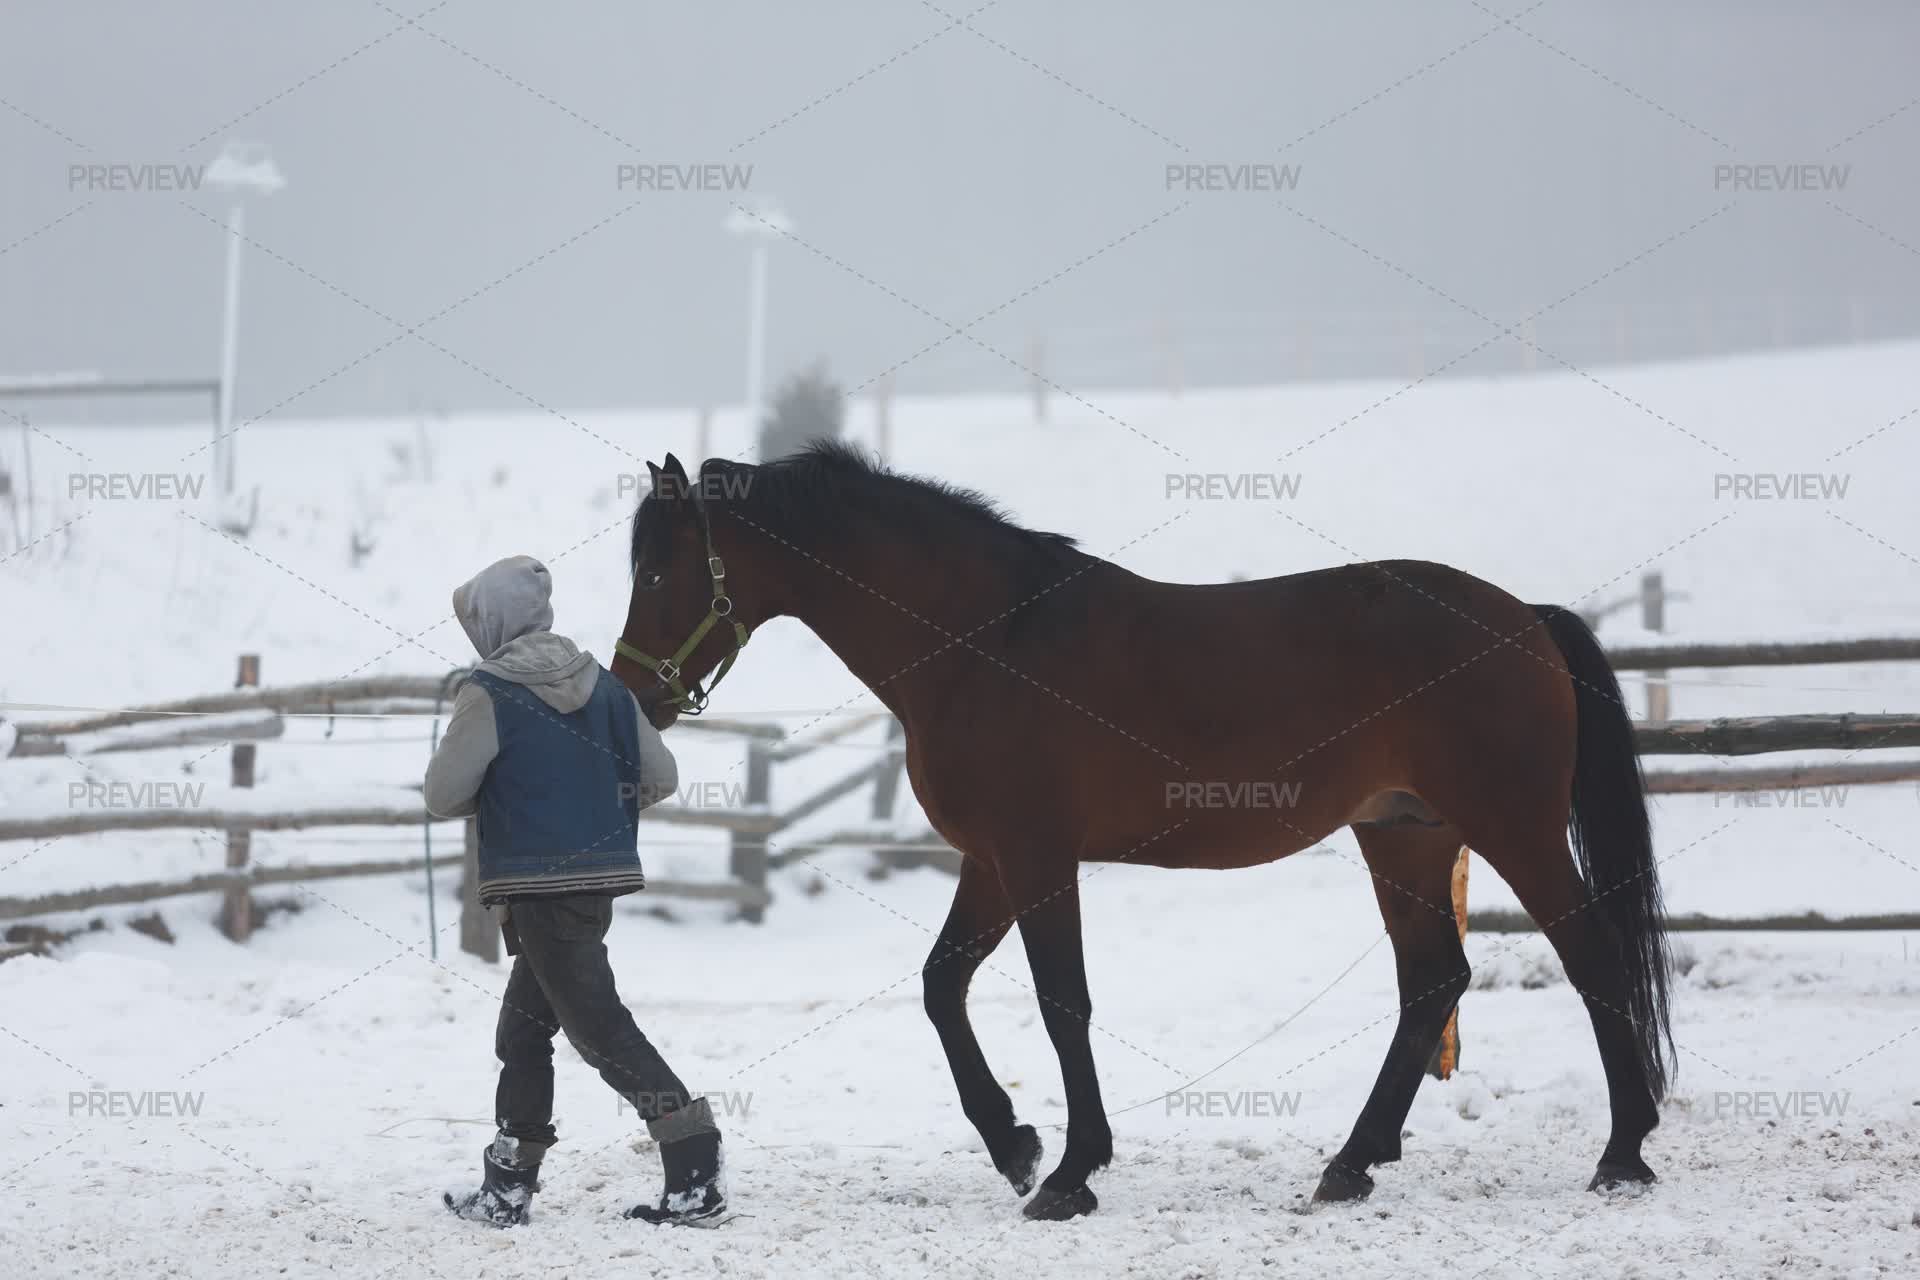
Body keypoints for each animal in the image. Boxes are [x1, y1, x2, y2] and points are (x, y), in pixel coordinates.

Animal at [610, 444, 1671, 1220]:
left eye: (658, 570)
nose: (633, 695)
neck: (985, 643)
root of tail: (1526, 618)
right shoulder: (991, 861)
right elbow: (944, 986)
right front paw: (1015, 1144)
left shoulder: (1037, 857)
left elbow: (1061, 1003)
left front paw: (1070, 1172)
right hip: (1406, 836)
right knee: (1433, 984)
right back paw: (1352, 1163)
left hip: (1514, 828)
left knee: (1591, 958)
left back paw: (1622, 1154)